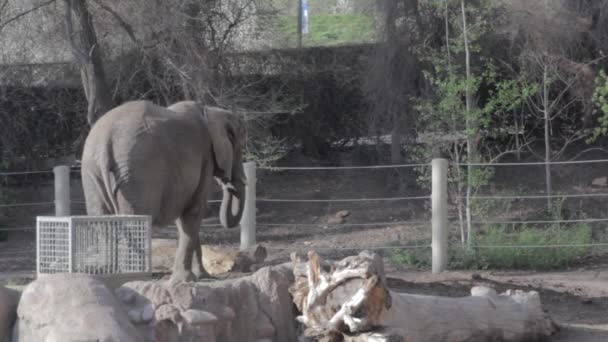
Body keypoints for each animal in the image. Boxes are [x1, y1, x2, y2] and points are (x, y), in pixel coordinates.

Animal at [81, 99, 247, 284]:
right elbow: (193, 211)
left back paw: (111, 274)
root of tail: (105, 142)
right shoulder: (206, 158)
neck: (210, 110)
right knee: (136, 220)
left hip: (92, 171)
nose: (228, 182)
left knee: (101, 221)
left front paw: (202, 276)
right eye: (239, 148)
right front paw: (188, 279)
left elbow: (184, 217)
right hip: (139, 172)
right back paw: (137, 277)